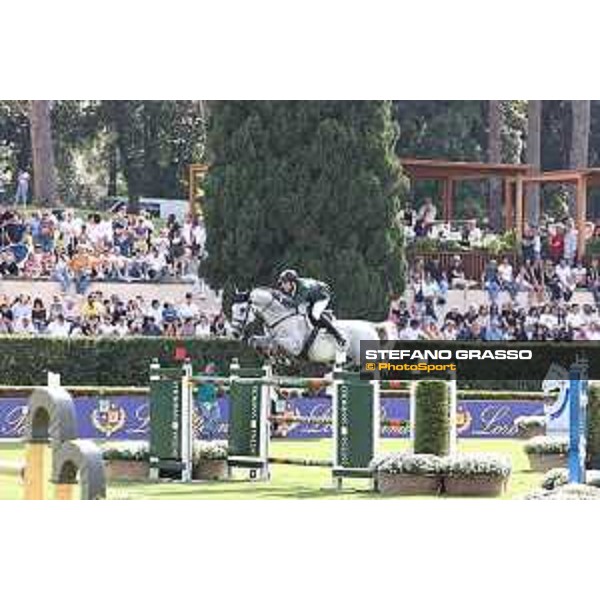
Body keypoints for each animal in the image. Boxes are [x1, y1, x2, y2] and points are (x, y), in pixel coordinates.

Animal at [229, 288, 394, 366]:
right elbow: (254, 340)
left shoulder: (294, 345)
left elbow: (277, 343)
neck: (281, 317)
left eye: (242, 309)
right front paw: (270, 356)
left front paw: (282, 359)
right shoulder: (268, 337)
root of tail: (372, 327)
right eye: (232, 309)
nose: (235, 333)